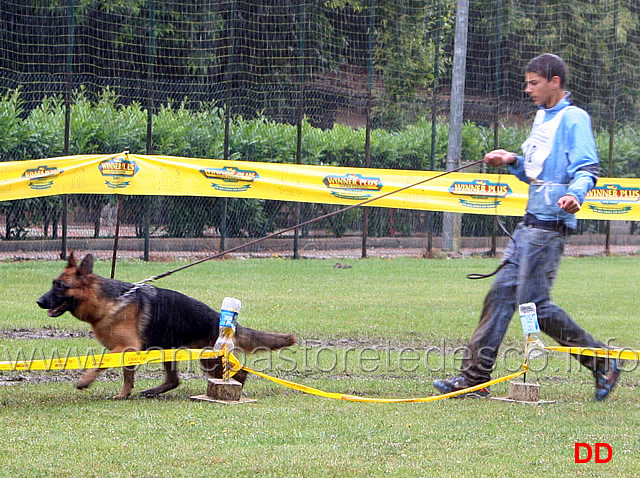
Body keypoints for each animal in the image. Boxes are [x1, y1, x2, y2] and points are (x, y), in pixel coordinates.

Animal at [39, 254, 298, 400]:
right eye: (53, 283)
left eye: (61, 286)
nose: (39, 302)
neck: (108, 301)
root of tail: (218, 318)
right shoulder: (128, 351)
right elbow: (127, 376)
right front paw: (124, 394)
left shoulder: (125, 347)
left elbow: (100, 362)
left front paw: (85, 380)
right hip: (169, 350)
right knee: (175, 380)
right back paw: (153, 392)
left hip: (208, 357)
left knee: (240, 372)